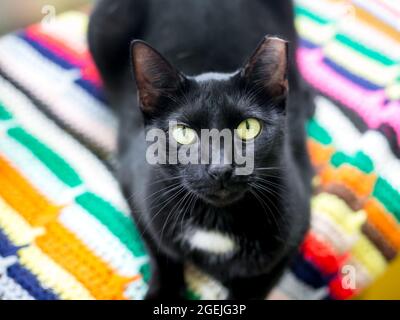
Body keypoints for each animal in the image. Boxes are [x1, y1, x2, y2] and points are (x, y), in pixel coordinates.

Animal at [89, 0, 314, 300]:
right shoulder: (136, 191)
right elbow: (163, 252)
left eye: (248, 127)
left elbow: (253, 284)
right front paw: (163, 293)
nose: (220, 168)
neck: (215, 224)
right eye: (183, 133)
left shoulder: (296, 224)